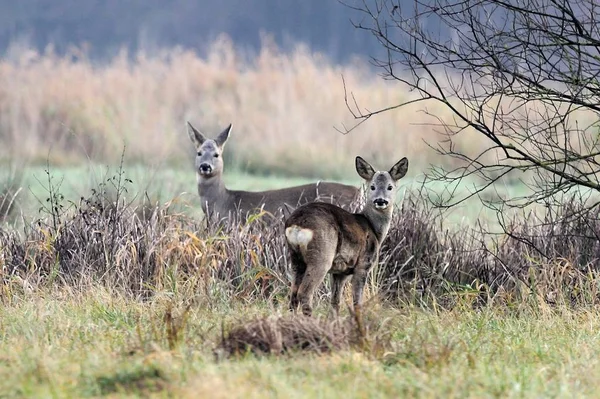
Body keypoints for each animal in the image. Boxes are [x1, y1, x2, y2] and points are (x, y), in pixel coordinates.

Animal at [284, 155, 408, 320]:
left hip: (295, 258)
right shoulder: (363, 264)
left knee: (293, 294)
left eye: (390, 187)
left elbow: (335, 301)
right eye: (372, 186)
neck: (374, 229)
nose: (380, 201)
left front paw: (334, 321)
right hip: (321, 256)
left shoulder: (339, 272)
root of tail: (297, 224)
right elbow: (357, 302)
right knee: (304, 292)